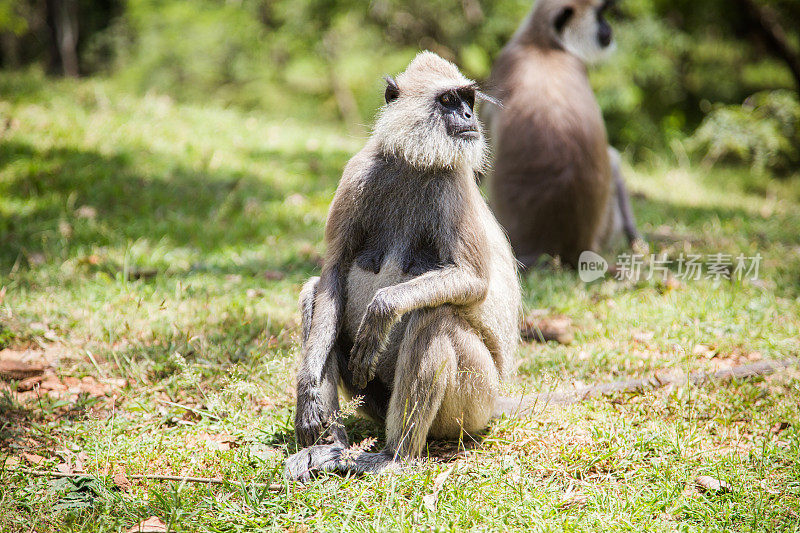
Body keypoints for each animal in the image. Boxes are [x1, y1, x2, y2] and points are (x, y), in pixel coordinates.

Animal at [284, 52, 520, 480]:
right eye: (448, 100)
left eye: (467, 100)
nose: (467, 115)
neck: (414, 162)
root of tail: (496, 403)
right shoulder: (357, 172)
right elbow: (332, 274)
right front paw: (307, 389)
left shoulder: (453, 184)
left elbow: (472, 281)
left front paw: (382, 310)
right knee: (314, 291)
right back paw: (328, 448)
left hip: (476, 401)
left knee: (434, 315)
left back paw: (395, 456)